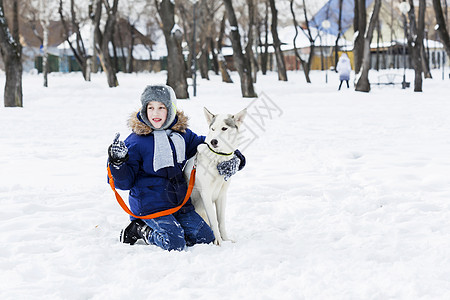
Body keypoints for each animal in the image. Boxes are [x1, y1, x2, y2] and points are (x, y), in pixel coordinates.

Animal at [183, 106, 246, 245]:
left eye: (224, 128)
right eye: (212, 129)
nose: (213, 141)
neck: (218, 160)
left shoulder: (222, 195)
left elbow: (221, 221)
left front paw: (226, 239)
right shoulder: (206, 193)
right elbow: (214, 221)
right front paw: (218, 241)